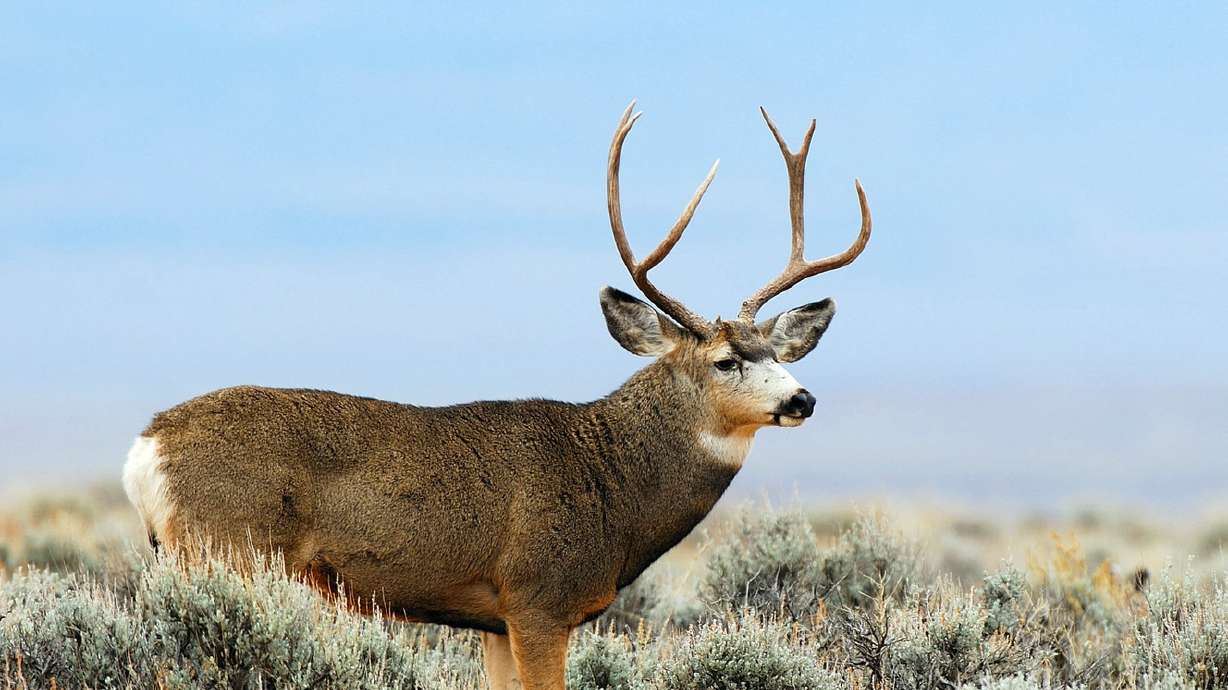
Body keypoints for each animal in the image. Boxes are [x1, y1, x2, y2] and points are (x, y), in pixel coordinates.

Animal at [122, 101, 871, 690]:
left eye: (777, 354)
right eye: (724, 360)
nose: (803, 399)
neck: (613, 484)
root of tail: (146, 447)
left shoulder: (493, 618)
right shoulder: (539, 597)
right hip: (223, 552)